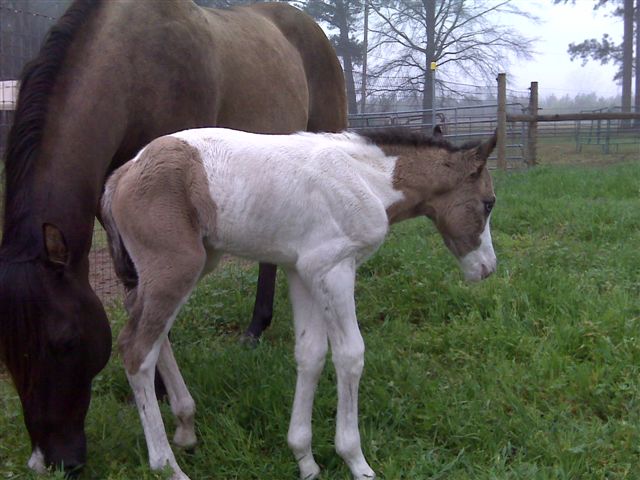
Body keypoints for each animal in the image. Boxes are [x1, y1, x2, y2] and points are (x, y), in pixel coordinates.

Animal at [0, 0, 346, 474]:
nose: (54, 460)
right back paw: (256, 327)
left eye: (65, 341)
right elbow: (140, 305)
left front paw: (162, 398)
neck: (132, 67)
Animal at [100, 127, 498, 480]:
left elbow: (311, 354)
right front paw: (356, 461)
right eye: (489, 202)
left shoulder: (302, 270)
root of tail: (123, 173)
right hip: (176, 266)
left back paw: (185, 424)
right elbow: (350, 355)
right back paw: (167, 466)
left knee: (148, 325)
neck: (367, 179)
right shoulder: (334, 269)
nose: (488, 268)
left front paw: (304, 458)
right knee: (137, 348)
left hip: (196, 263)